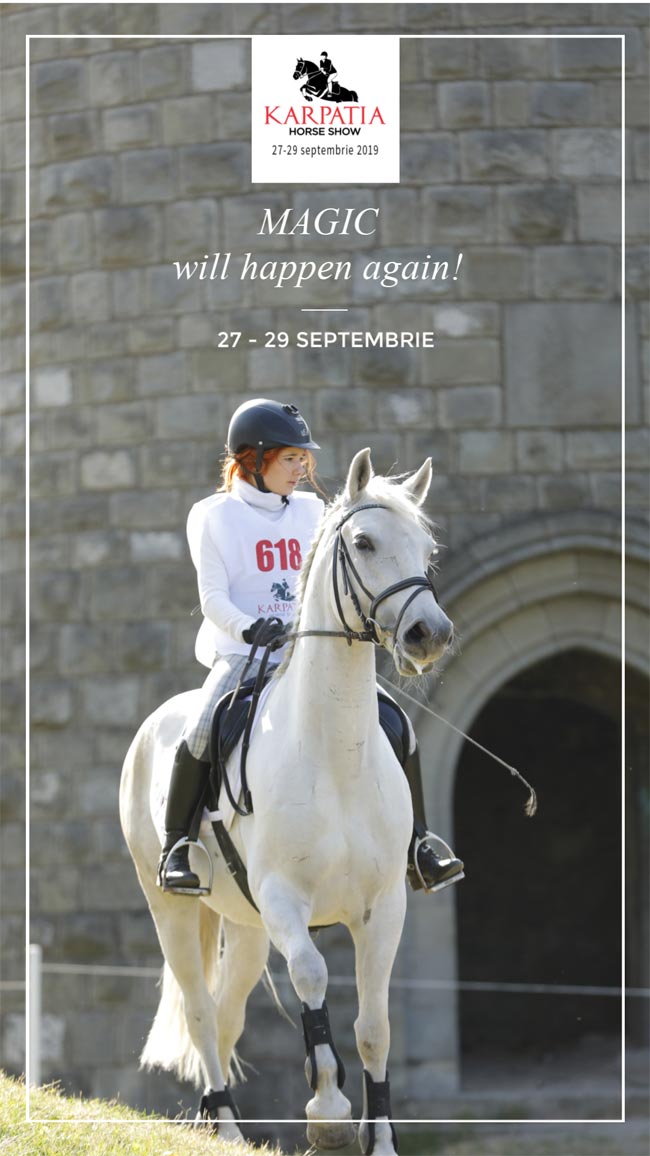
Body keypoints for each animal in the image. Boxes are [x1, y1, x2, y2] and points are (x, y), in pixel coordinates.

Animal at [119, 449, 454, 1154]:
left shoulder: (384, 907)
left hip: (244, 928)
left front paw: (380, 1140)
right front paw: (327, 1114)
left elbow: (374, 1026)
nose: (428, 635)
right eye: (364, 542)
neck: (334, 755)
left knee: (226, 1014)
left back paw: (222, 1129)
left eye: (427, 548)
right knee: (200, 1010)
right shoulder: (283, 900)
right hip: (172, 907)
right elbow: (312, 978)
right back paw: (222, 1122)